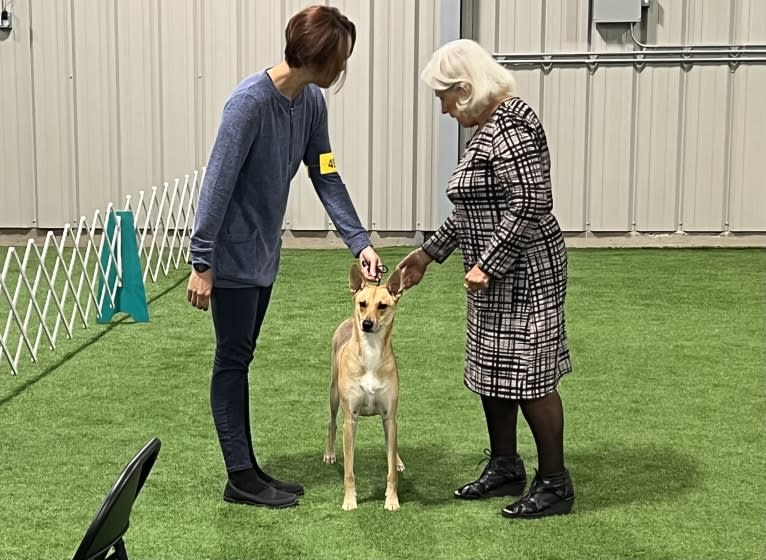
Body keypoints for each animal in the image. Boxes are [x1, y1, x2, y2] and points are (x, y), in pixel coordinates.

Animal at [324, 264, 408, 510]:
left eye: (383, 306)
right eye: (362, 303)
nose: (366, 324)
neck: (371, 353)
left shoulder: (389, 415)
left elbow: (390, 470)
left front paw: (392, 500)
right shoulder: (350, 418)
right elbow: (349, 470)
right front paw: (350, 501)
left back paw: (397, 459)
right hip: (333, 394)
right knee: (332, 423)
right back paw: (330, 453)